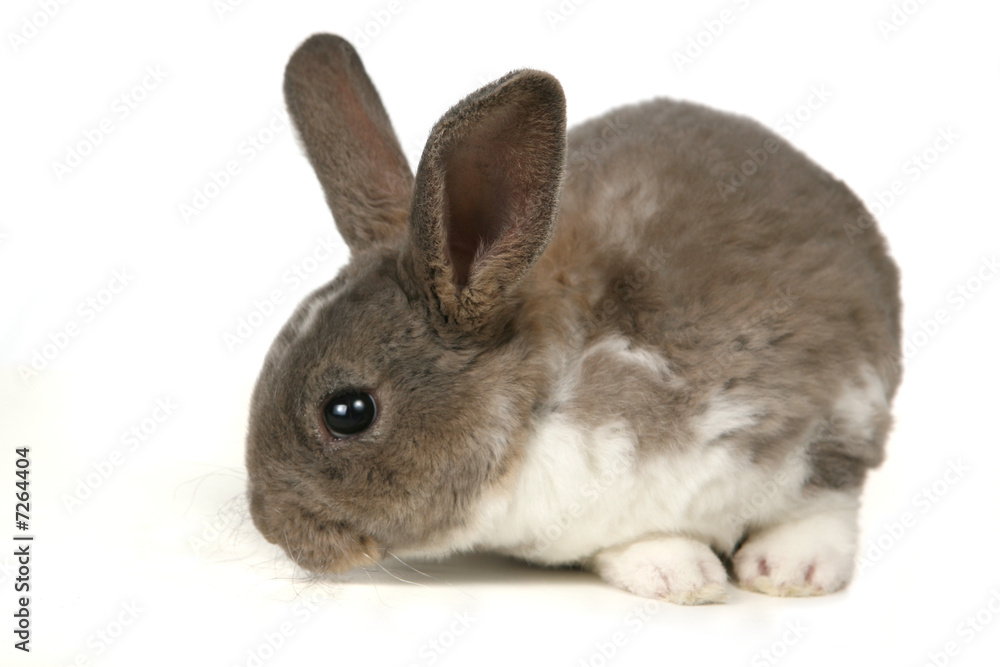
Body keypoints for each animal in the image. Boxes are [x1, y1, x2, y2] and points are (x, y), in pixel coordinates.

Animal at [245, 33, 901, 604]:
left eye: (348, 412)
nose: (271, 526)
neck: (542, 409)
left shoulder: (815, 413)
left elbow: (824, 499)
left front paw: (785, 571)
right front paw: (679, 573)